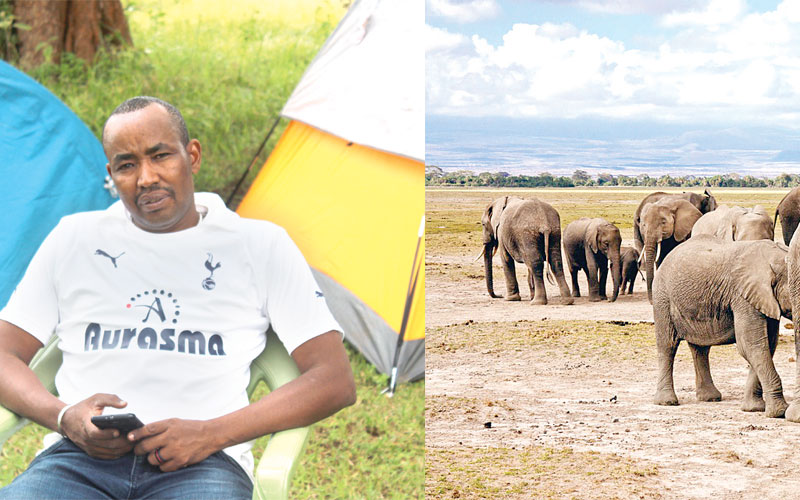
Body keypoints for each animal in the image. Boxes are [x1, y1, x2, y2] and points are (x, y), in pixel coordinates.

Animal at [652, 234, 792, 418]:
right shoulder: (743, 296)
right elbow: (751, 345)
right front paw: (779, 412)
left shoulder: (764, 299)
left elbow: (767, 345)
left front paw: (753, 409)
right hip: (662, 297)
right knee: (667, 345)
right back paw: (667, 402)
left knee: (700, 349)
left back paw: (710, 398)